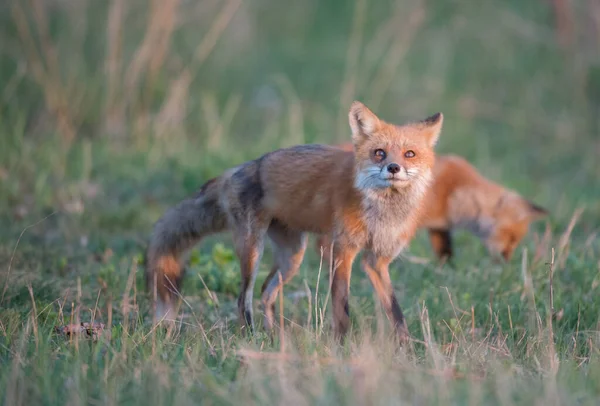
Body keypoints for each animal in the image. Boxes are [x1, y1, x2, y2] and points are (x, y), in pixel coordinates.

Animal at [316, 144, 548, 262]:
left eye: (516, 241)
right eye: (511, 237)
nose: (506, 261)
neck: (455, 191)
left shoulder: (439, 227)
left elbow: (445, 254)